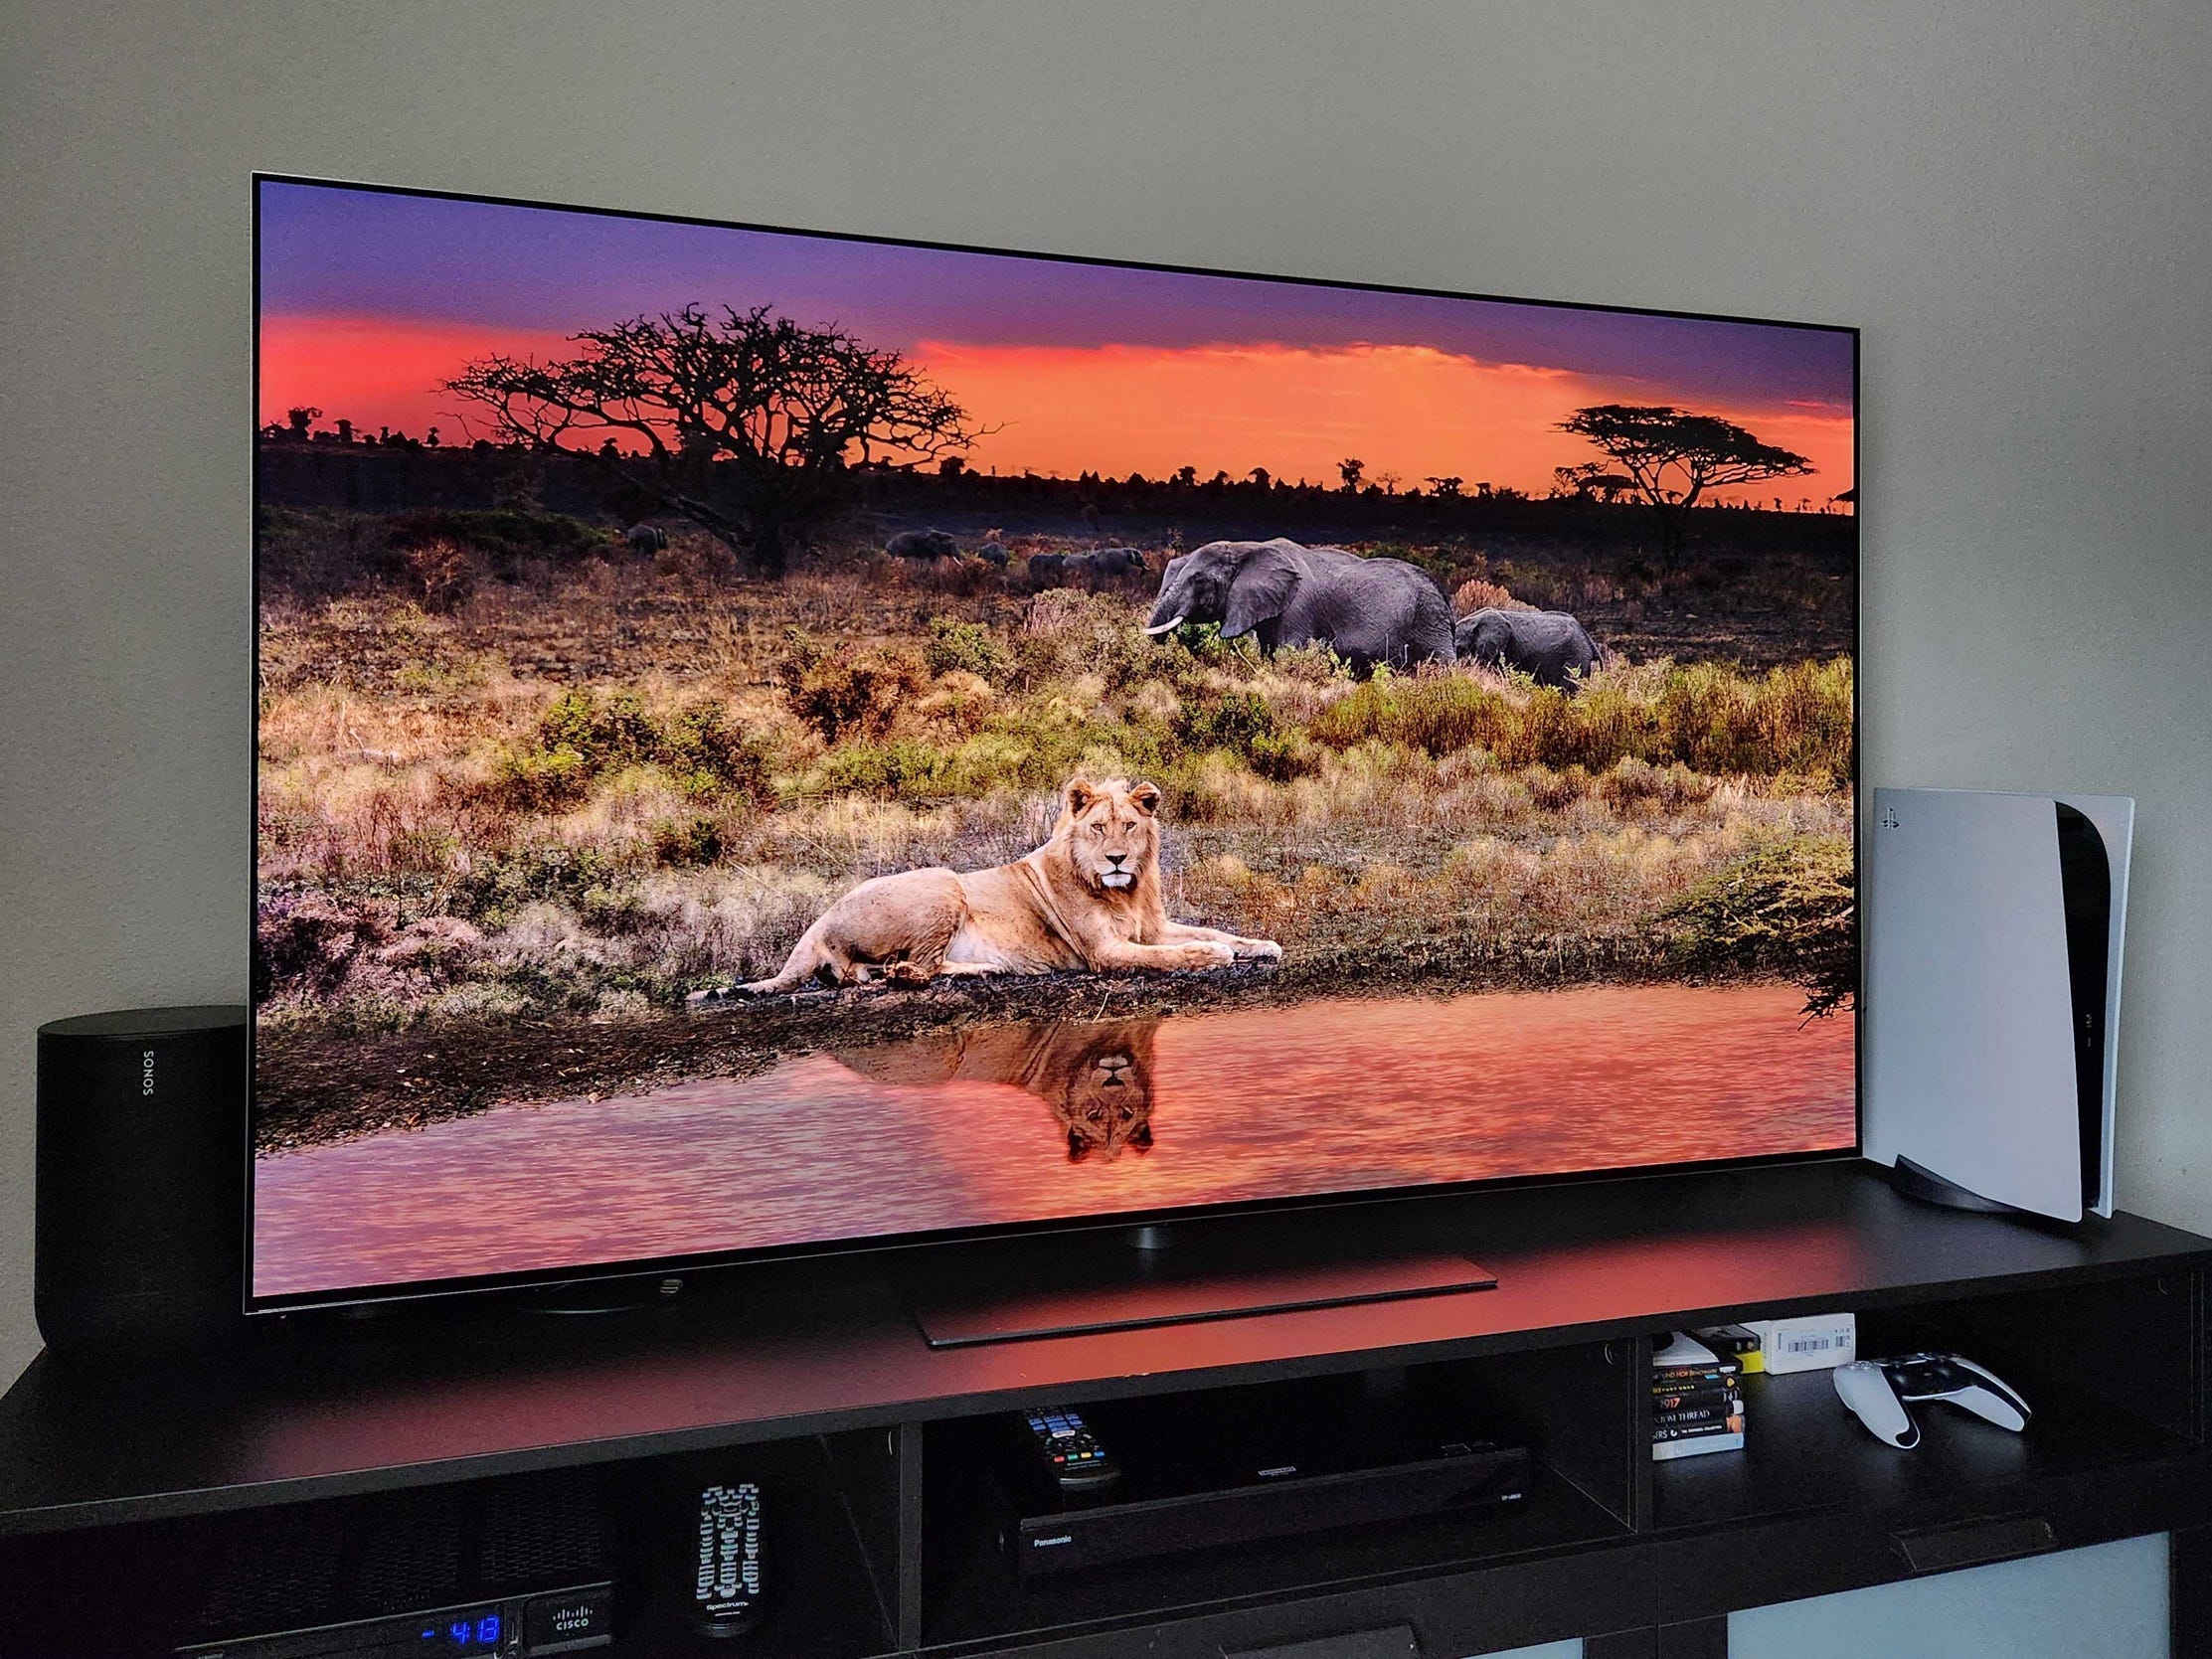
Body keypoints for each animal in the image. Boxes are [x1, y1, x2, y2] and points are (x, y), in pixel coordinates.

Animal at [740, 776, 1281, 993]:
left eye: (1128, 825)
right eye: (1097, 828)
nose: (1116, 859)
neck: (1125, 890)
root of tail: (820, 918)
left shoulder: (1152, 927)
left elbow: (1216, 931)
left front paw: (1264, 945)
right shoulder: (1105, 952)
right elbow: (1173, 954)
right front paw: (1212, 957)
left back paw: (985, 969)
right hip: (942, 882)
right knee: (914, 966)